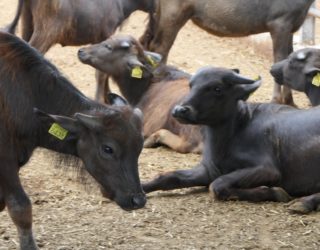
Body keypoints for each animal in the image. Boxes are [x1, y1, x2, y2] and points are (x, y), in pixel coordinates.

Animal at [142, 0, 316, 105]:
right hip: (174, 15)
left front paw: (290, 101)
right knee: (161, 47)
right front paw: (277, 100)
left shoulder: (291, 28)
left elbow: (290, 56)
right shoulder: (280, 25)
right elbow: (280, 59)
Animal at [142, 67, 320, 215]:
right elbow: (167, 177)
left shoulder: (267, 169)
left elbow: (217, 185)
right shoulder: (208, 169)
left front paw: (276, 192)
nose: (180, 110)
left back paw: (303, 203)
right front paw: (141, 189)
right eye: (191, 86)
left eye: (217, 89)